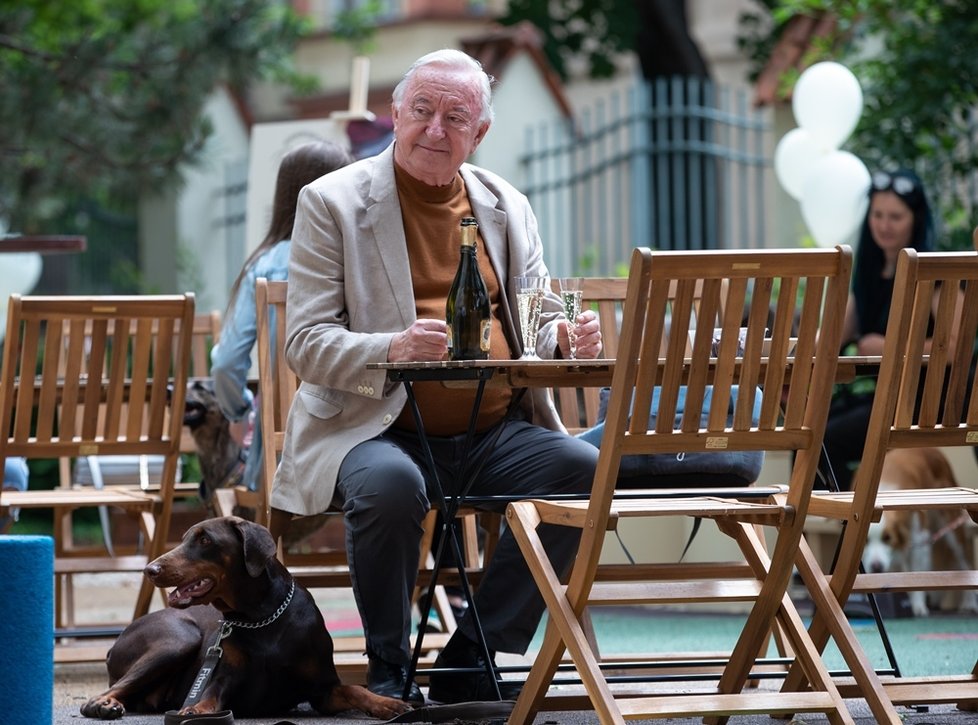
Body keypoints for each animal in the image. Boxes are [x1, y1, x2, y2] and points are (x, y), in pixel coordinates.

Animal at [79, 516, 408, 720]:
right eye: (185, 539)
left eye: (205, 540)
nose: (150, 569)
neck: (260, 617)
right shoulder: (224, 677)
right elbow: (208, 697)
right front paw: (194, 711)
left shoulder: (323, 690)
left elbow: (355, 689)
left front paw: (390, 704)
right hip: (179, 639)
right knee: (101, 694)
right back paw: (105, 704)